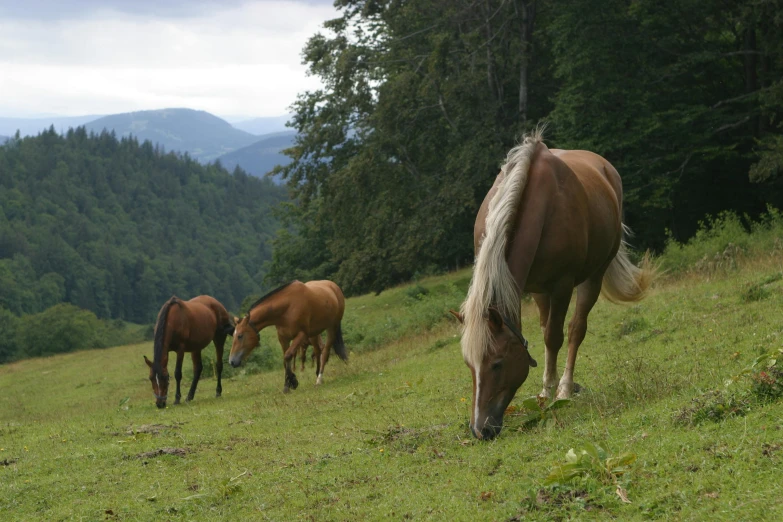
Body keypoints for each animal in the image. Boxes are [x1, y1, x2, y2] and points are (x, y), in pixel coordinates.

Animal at [454, 128, 656, 436]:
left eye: (497, 364)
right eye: (469, 364)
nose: (480, 430)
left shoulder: (561, 286)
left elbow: (554, 336)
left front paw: (552, 392)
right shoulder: (532, 287)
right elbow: (544, 332)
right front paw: (543, 391)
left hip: (593, 277)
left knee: (575, 330)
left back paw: (565, 387)